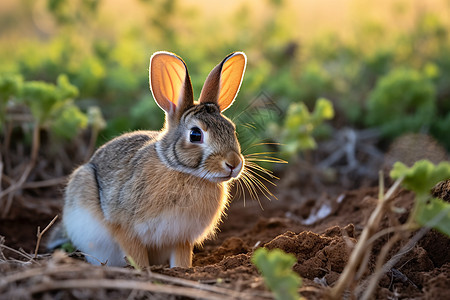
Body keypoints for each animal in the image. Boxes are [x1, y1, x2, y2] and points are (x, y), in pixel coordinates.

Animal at [50, 51, 246, 268]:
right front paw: (143, 270)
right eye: (195, 135)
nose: (234, 163)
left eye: (231, 129)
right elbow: (136, 254)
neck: (185, 173)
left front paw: (182, 270)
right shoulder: (125, 227)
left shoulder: (181, 237)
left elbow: (181, 258)